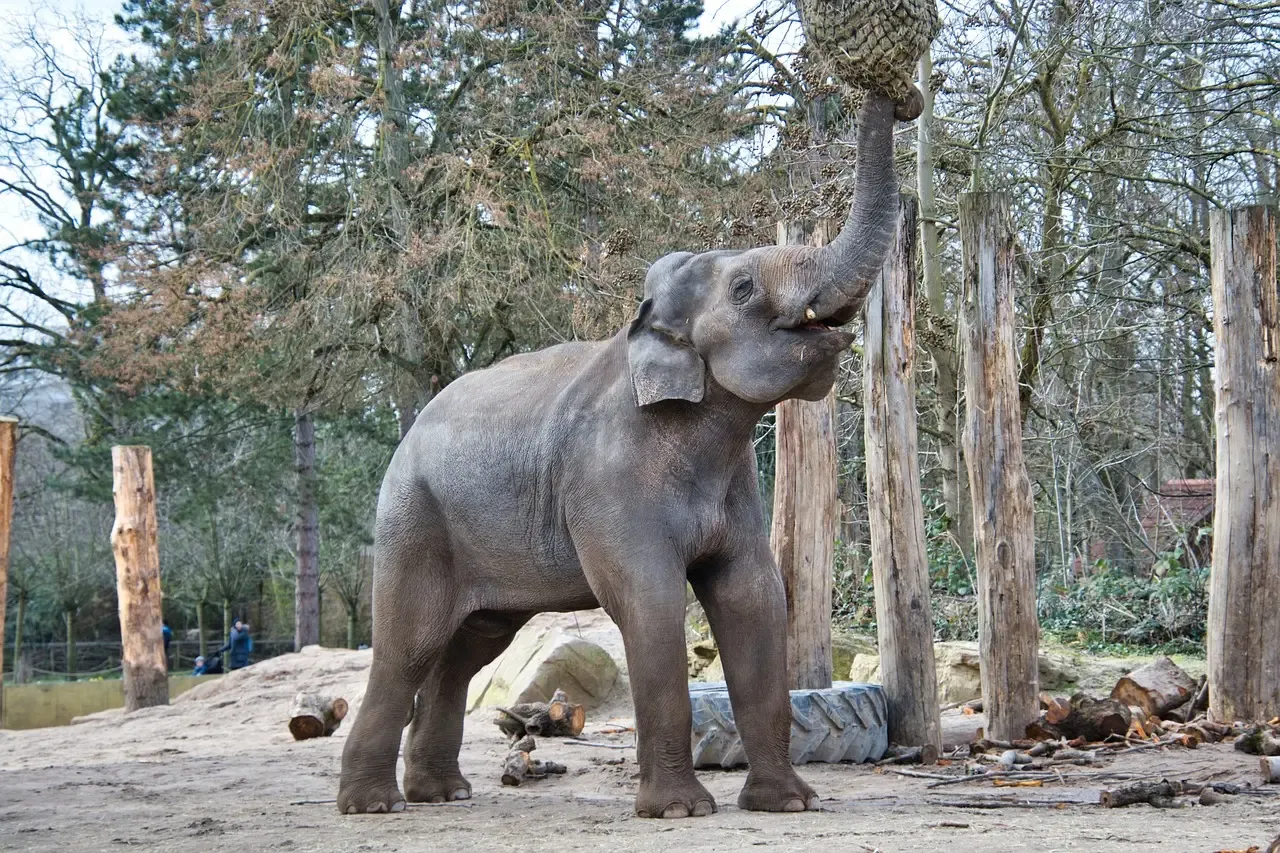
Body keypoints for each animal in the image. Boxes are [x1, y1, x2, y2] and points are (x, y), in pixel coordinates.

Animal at [337, 88, 918, 818]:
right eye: (745, 289)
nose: (901, 98)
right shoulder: (608, 477)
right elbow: (652, 602)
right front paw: (680, 810)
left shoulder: (736, 488)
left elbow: (754, 598)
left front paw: (790, 803)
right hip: (414, 521)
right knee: (408, 644)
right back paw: (372, 804)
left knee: (470, 646)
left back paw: (441, 793)